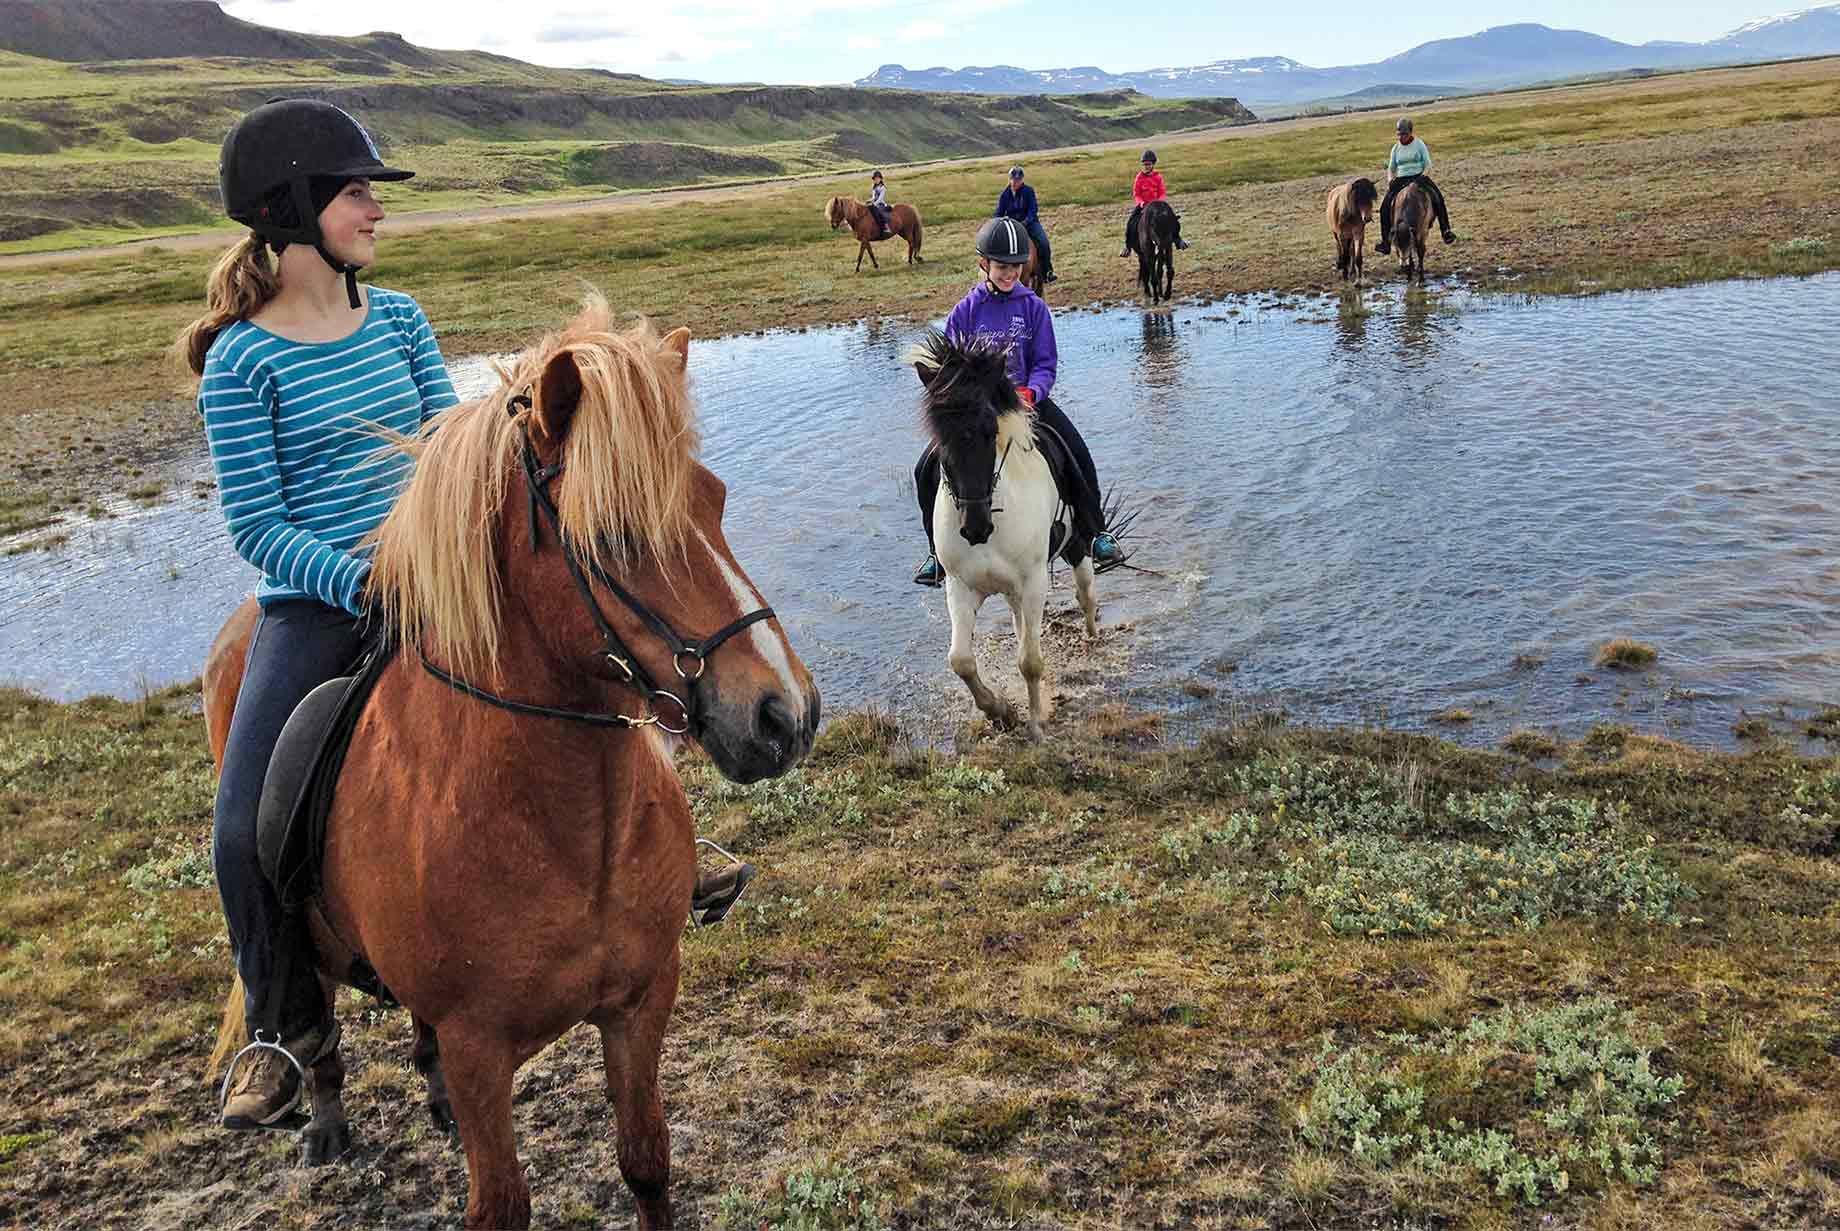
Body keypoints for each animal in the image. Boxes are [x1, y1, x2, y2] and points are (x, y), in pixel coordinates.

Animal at [201, 297, 819, 1229]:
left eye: (713, 498)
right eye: (615, 533)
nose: (785, 713)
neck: (565, 833)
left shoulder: (640, 1003)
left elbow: (647, 1161)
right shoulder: (480, 1048)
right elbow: (501, 1204)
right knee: (317, 1025)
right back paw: (322, 1120)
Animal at [914, 331, 1098, 742]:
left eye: (989, 430)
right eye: (940, 437)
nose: (974, 527)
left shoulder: (1033, 582)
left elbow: (1030, 661)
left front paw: (1036, 724)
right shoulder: (961, 586)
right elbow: (961, 661)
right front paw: (1000, 712)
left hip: (1075, 544)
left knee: (1086, 593)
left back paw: (1094, 637)